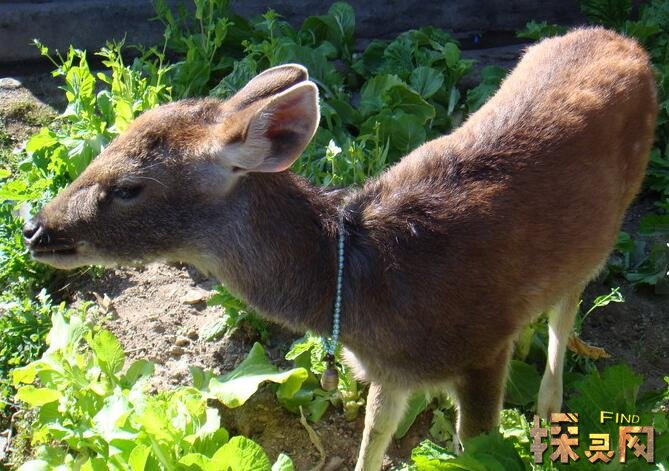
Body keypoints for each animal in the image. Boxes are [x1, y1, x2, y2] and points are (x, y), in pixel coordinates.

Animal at [24, 27, 652, 470]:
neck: (367, 292)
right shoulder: (389, 373)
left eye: (129, 186)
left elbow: (477, 448)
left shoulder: (480, 350)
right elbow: (372, 443)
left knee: (565, 318)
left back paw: (549, 415)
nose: (35, 229)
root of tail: (624, 41)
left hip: (607, 226)